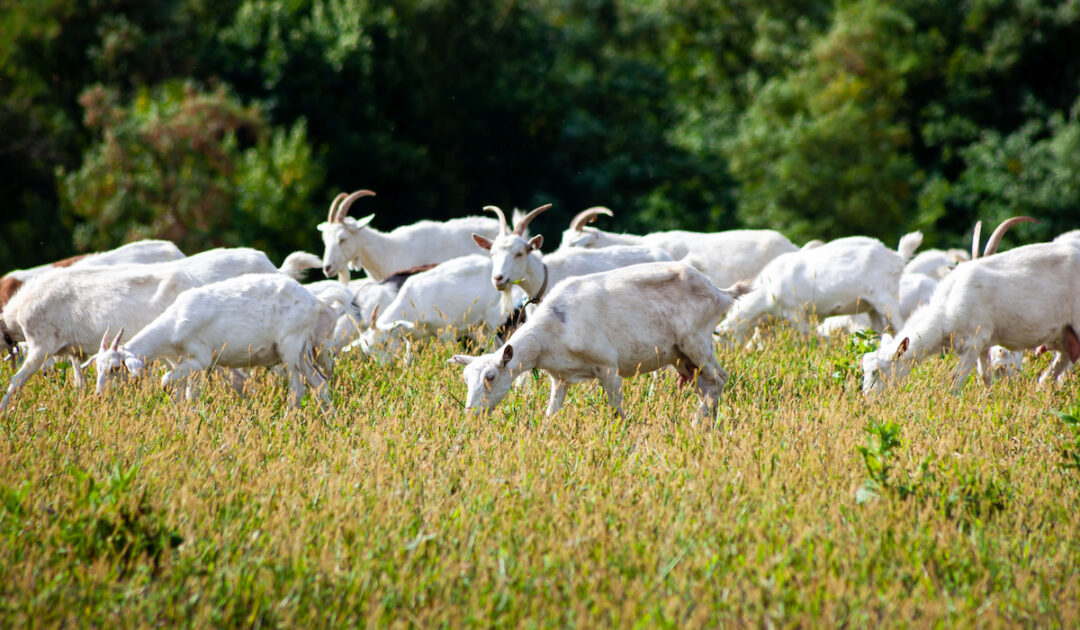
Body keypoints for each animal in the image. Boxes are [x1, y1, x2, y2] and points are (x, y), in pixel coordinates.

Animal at [93, 274, 335, 409]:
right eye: (98, 367)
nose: (99, 395)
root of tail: (315, 301)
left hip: (290, 349)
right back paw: (330, 420)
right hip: (302, 352)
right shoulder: (183, 364)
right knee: (320, 384)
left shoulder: (200, 359)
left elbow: (165, 381)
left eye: (115, 368)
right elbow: (187, 395)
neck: (174, 326)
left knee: (297, 388)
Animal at [449, 262, 750, 422]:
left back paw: (699, 423)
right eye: (465, 379)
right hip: (681, 356)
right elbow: (550, 413)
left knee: (719, 378)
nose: (470, 413)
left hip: (696, 341)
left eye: (490, 377)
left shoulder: (608, 366)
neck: (553, 331)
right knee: (706, 386)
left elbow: (618, 411)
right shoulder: (560, 377)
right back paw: (706, 423)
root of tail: (721, 293)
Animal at [716, 233, 924, 345]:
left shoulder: (795, 311)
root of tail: (896, 257)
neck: (766, 291)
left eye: (721, 341)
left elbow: (805, 336)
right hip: (871, 306)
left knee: (900, 325)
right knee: (880, 330)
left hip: (886, 299)